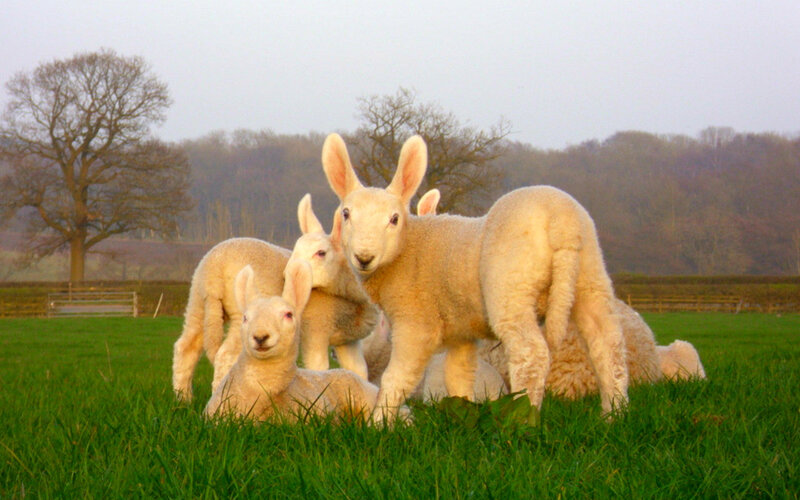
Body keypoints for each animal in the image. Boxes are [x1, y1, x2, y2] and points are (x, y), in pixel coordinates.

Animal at [172, 236, 377, 402]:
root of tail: (214, 269)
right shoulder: (317, 330)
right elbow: (319, 367)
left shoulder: (348, 341)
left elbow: (358, 370)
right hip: (241, 314)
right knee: (225, 355)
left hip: (197, 301)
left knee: (186, 347)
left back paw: (183, 399)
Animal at [321, 133, 628, 420]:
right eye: (346, 214)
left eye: (394, 219)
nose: (364, 257)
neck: (408, 249)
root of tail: (562, 222)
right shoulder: (462, 331)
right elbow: (458, 374)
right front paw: (461, 413)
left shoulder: (415, 322)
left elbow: (396, 378)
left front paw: (380, 423)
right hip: (591, 276)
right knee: (608, 346)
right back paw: (613, 415)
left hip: (510, 287)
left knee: (531, 355)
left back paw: (523, 419)